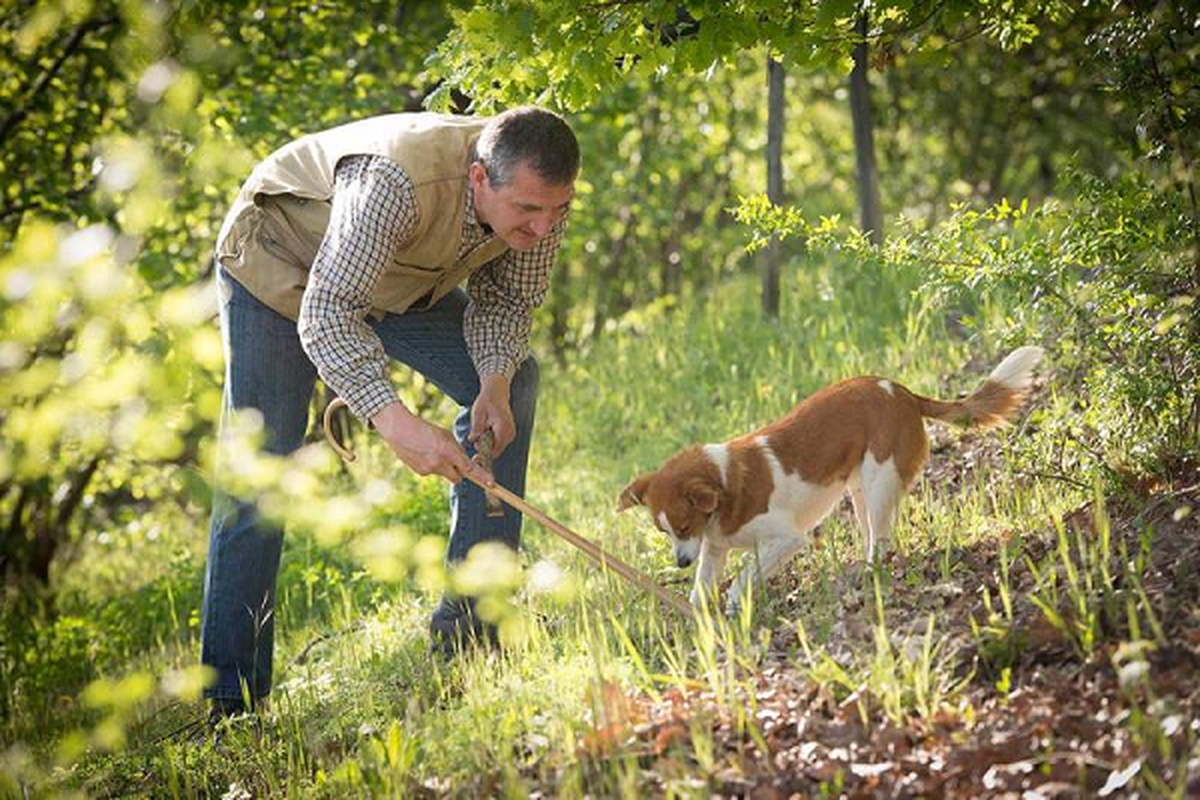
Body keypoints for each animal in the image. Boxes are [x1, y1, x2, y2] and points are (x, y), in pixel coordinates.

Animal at [619, 345, 1041, 614]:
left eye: (683, 525)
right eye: (665, 532)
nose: (680, 564)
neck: (725, 486)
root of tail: (902, 392)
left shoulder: (786, 540)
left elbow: (745, 577)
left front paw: (737, 604)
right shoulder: (713, 551)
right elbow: (699, 592)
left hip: (879, 483)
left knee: (882, 541)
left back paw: (871, 575)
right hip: (859, 491)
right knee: (875, 535)